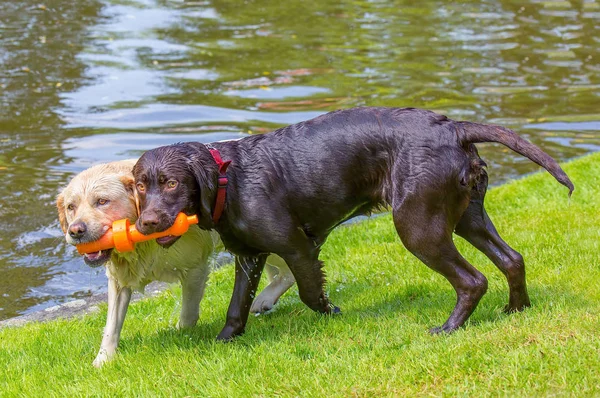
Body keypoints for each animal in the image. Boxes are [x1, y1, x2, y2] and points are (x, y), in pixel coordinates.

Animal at [134, 107, 576, 340]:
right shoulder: (249, 256)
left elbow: (311, 294)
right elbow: (236, 306)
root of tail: (453, 127)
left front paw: (335, 314)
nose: (146, 223)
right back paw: (515, 310)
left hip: (418, 226)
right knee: (512, 259)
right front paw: (226, 340)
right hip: (467, 217)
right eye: (140, 185)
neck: (231, 179)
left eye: (172, 183)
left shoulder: (298, 247)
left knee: (473, 280)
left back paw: (447, 329)